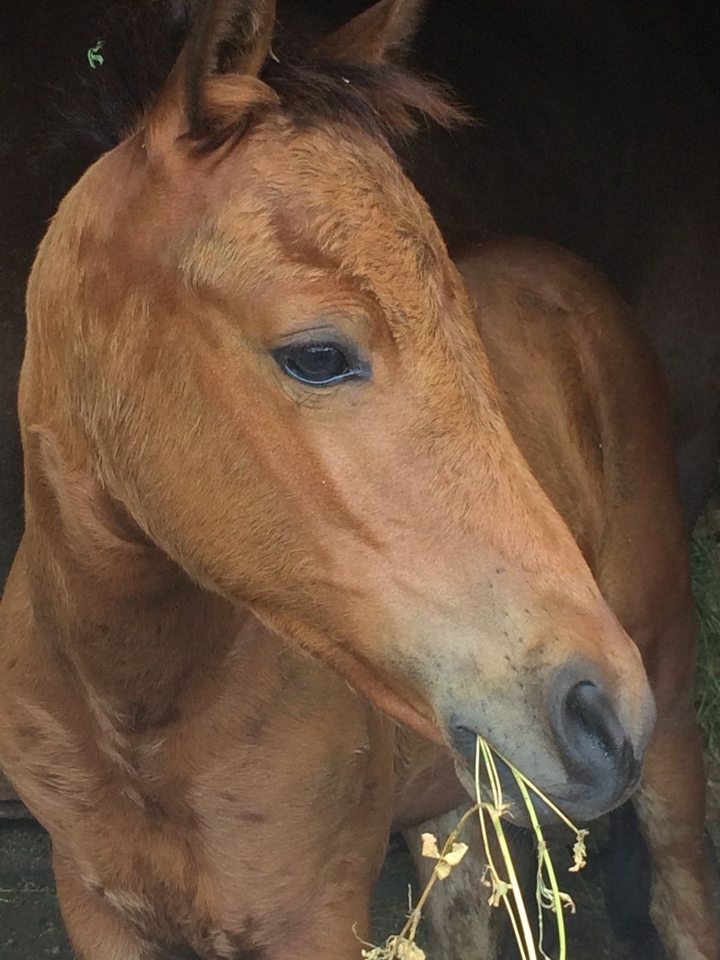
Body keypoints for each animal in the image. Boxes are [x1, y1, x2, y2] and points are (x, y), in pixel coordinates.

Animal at [0, 0, 715, 957]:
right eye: (317, 355)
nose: (597, 708)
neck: (136, 721)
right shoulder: (98, 910)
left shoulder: (316, 914)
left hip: (668, 697)